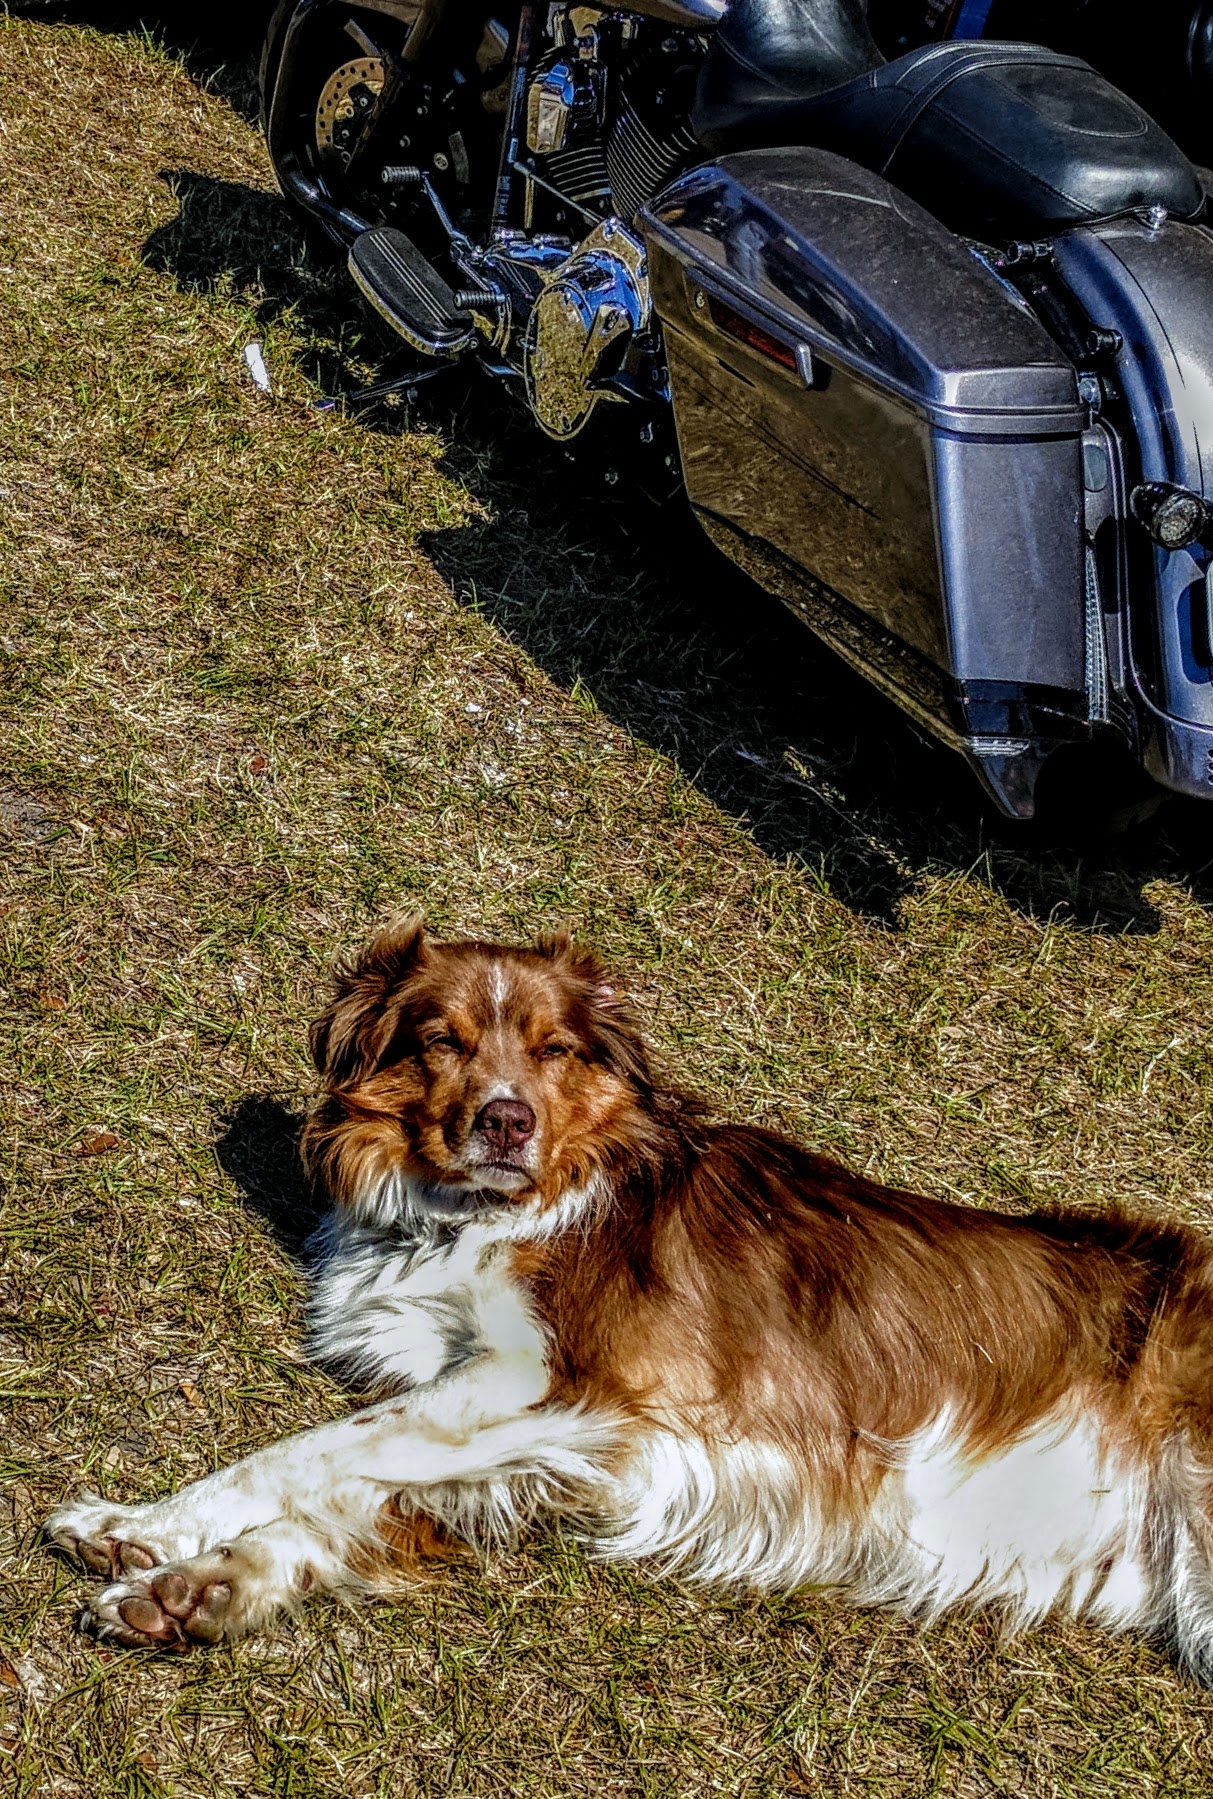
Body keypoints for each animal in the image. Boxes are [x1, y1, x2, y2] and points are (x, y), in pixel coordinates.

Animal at [47, 921, 1213, 1676]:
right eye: (441, 1039)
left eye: (555, 1048)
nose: (505, 1120)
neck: (474, 1213)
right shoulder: (561, 1443)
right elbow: (353, 1495)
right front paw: (194, 1580)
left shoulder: (551, 1380)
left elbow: (308, 1452)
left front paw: (153, 1523)